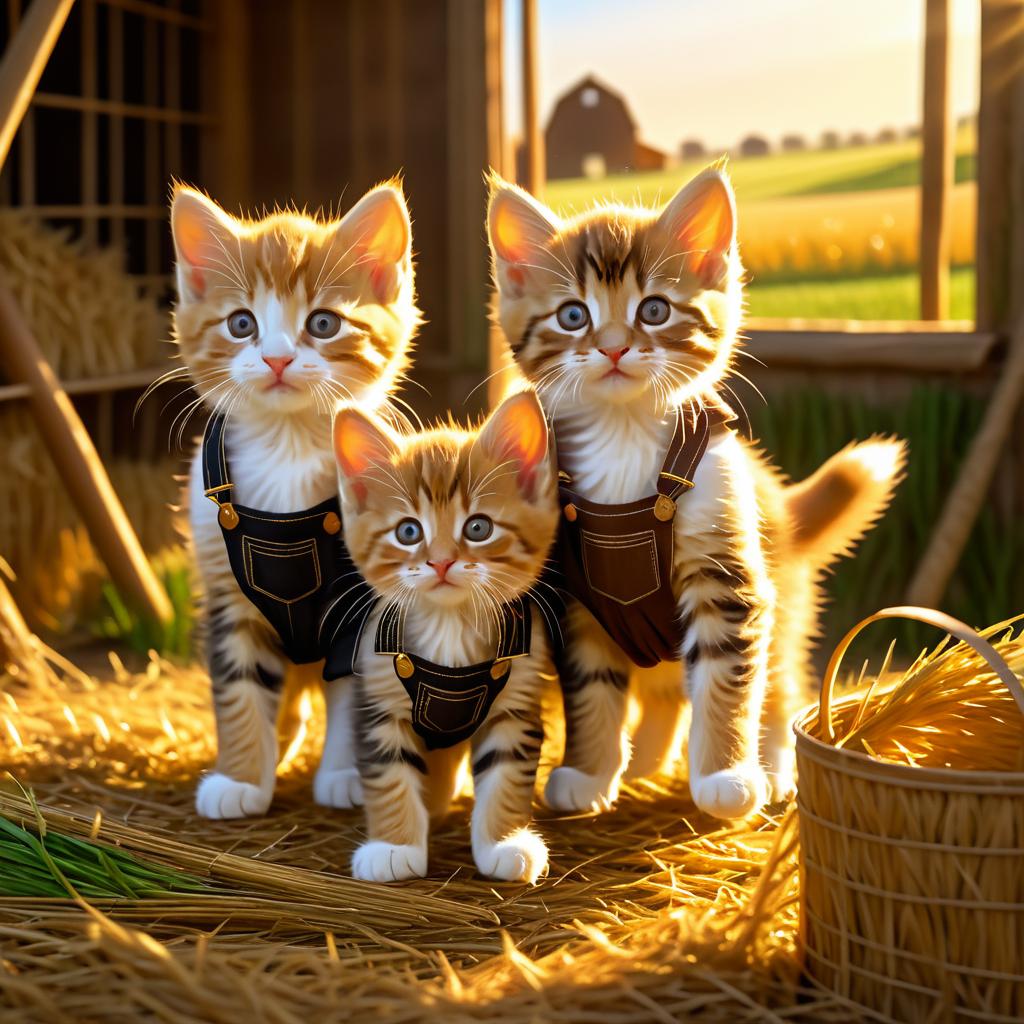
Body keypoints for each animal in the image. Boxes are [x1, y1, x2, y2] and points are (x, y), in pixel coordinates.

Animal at [169, 180, 417, 819]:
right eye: (240, 323)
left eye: (324, 323)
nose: (277, 358)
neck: (287, 447)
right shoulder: (226, 595)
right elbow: (238, 688)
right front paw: (240, 778)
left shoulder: (363, 607)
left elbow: (355, 692)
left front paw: (347, 775)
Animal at [327, 387, 557, 884]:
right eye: (408, 531)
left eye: (478, 527)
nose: (441, 561)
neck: (449, 627)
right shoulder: (378, 698)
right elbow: (389, 774)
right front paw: (393, 847)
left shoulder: (516, 700)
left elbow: (506, 774)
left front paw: (504, 841)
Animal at [487, 169, 905, 823]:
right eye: (573, 315)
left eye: (654, 310)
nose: (613, 346)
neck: (625, 437)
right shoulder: (580, 600)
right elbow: (591, 690)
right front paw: (588, 772)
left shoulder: (728, 574)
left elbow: (725, 681)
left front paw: (725, 776)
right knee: (665, 695)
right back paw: (643, 763)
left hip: (782, 601)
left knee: (779, 689)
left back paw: (772, 768)